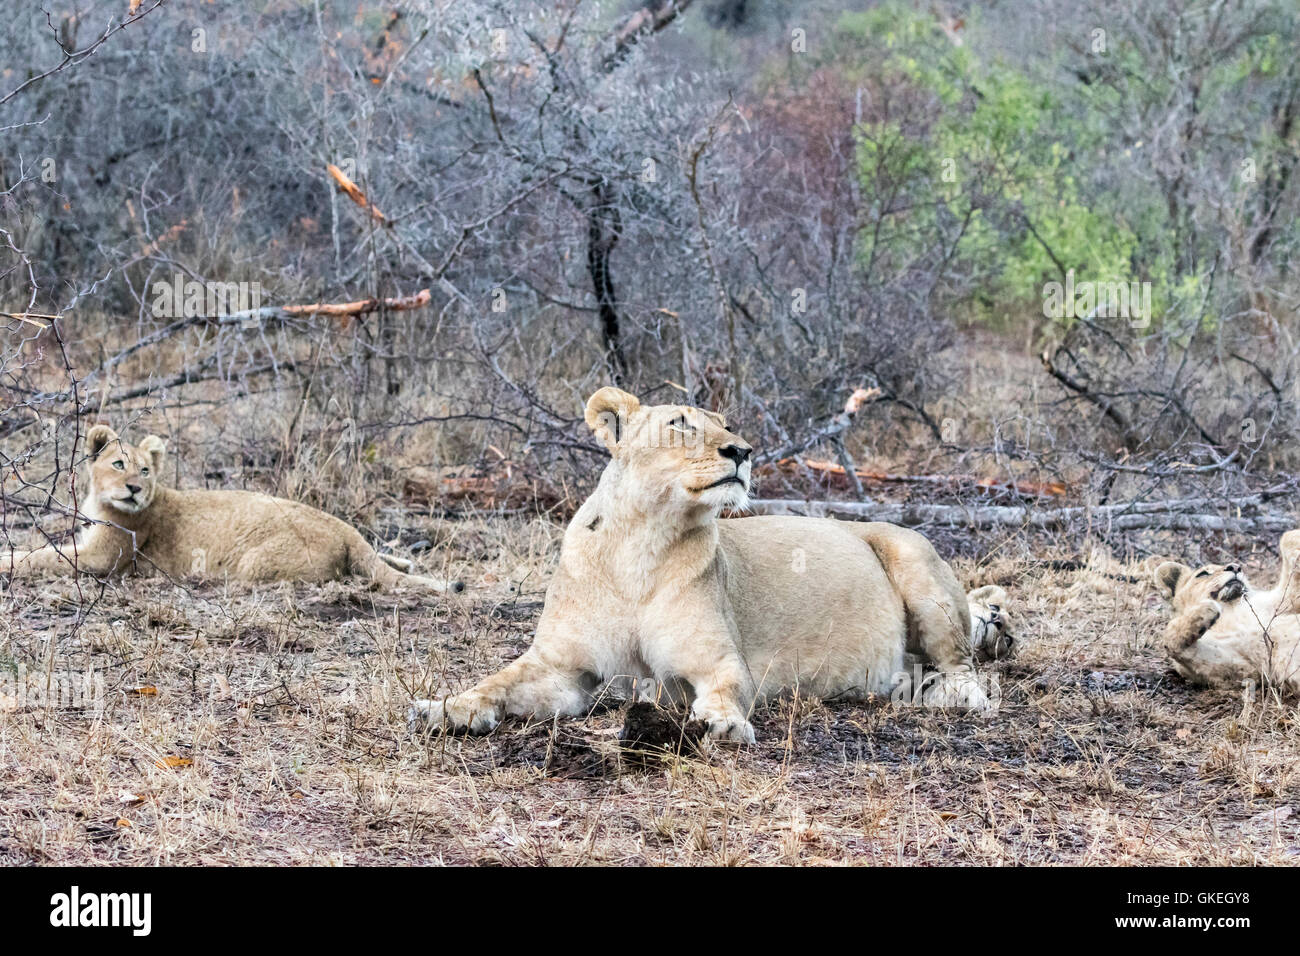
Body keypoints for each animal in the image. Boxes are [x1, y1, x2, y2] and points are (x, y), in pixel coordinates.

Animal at [2, 424, 462, 594]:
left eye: (145, 470)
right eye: (118, 464)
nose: (134, 487)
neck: (100, 500)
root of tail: (343, 531)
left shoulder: (102, 558)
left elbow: (37, 557)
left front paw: (8, 560)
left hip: (254, 565)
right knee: (384, 556)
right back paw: (404, 562)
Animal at [409, 387, 987, 743]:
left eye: (727, 426)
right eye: (680, 424)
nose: (743, 451)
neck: (640, 544)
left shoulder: (719, 663)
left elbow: (727, 691)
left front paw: (724, 725)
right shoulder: (560, 668)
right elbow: (496, 682)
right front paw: (444, 707)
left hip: (911, 553)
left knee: (967, 670)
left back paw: (941, 693)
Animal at [1154, 534, 1300, 694]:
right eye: (1203, 573)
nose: (1235, 567)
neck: (1229, 607)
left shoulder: (1284, 601)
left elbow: (1286, 539)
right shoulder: (1239, 667)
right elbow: (1171, 641)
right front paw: (1205, 610)